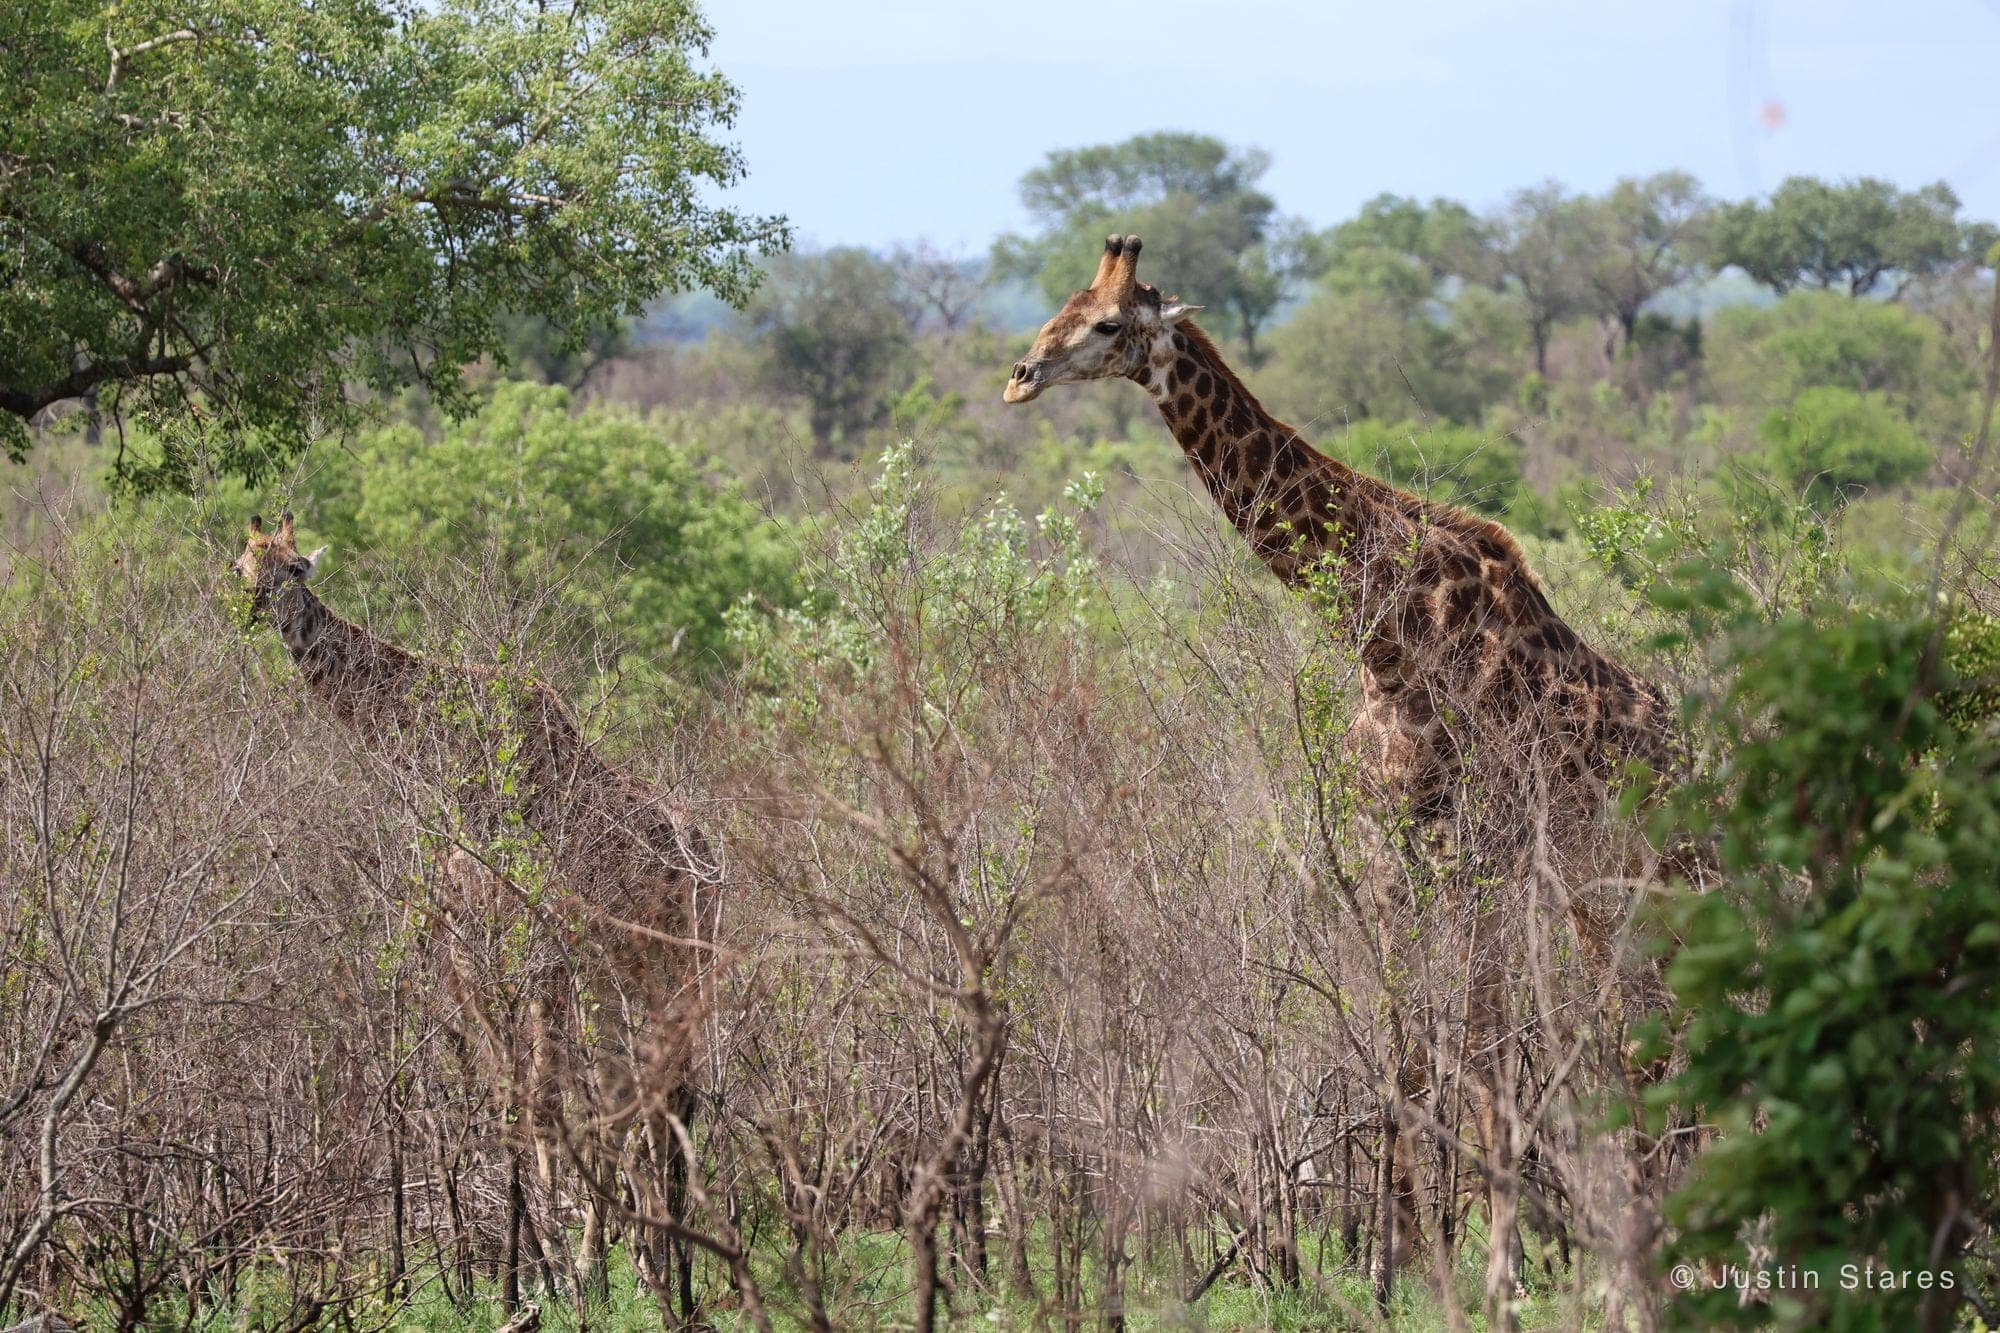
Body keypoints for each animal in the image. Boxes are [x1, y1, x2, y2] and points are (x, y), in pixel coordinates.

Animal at [232, 511, 718, 1322]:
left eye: (296, 568)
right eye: (242, 567)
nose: (265, 614)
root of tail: (707, 852)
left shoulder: (535, 944)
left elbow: (544, 1099)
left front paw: (565, 1276)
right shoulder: (480, 948)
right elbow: (515, 1098)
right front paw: (542, 1275)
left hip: (671, 958)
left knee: (657, 1089)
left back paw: (654, 1268)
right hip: (634, 965)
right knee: (656, 1087)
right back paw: (658, 1261)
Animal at [1005, 236, 1683, 1320]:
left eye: (1108, 322)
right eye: (1060, 304)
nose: (1021, 376)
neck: (1386, 635)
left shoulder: (1479, 849)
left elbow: (1483, 1060)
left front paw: (1495, 1275)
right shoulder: (1386, 845)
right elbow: (1403, 1055)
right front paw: (1393, 1271)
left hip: (1641, 875)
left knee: (1656, 1033)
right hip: (1596, 887)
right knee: (1644, 1032)